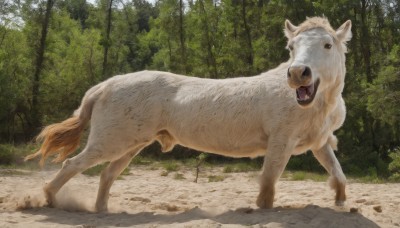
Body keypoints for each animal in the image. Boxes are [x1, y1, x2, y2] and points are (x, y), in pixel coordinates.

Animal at [25, 16, 352, 212]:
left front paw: (340, 203)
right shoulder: (280, 142)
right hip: (110, 142)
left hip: (130, 144)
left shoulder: (320, 142)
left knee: (107, 174)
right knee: (72, 164)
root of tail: (105, 84)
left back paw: (102, 211)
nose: (297, 73)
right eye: (291, 46)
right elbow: (268, 186)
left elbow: (339, 174)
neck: (318, 102)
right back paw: (49, 198)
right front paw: (262, 208)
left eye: (327, 44)